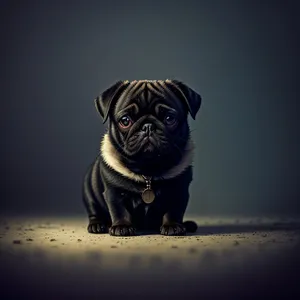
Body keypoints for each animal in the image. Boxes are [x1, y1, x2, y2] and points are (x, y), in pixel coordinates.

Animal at [82, 79, 202, 237]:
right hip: (90, 193)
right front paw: (122, 226)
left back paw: (187, 225)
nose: (148, 126)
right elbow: (119, 210)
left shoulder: (179, 191)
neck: (148, 171)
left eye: (169, 119)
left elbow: (174, 210)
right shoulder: (113, 192)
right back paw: (97, 225)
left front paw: (173, 225)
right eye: (125, 121)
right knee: (94, 211)